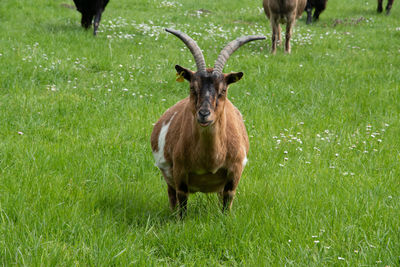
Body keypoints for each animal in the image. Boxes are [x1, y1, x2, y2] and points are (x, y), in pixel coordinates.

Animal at [150, 28, 266, 218]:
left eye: (223, 90)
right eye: (192, 87)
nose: (204, 114)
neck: (210, 160)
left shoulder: (235, 171)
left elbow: (228, 198)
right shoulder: (180, 171)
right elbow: (182, 200)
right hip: (169, 176)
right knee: (172, 196)